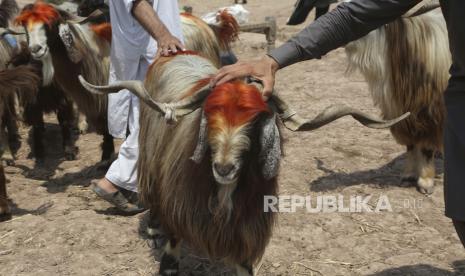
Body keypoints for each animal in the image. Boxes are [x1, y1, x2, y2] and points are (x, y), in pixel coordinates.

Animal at [79, 50, 406, 274]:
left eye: (259, 118)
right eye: (209, 111)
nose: (224, 168)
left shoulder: (246, 232)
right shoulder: (179, 208)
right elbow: (172, 252)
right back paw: (153, 228)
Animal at [344, 7, 450, 196]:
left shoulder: (431, 113)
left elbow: (426, 147)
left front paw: (425, 182)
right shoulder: (403, 114)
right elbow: (410, 145)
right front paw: (408, 176)